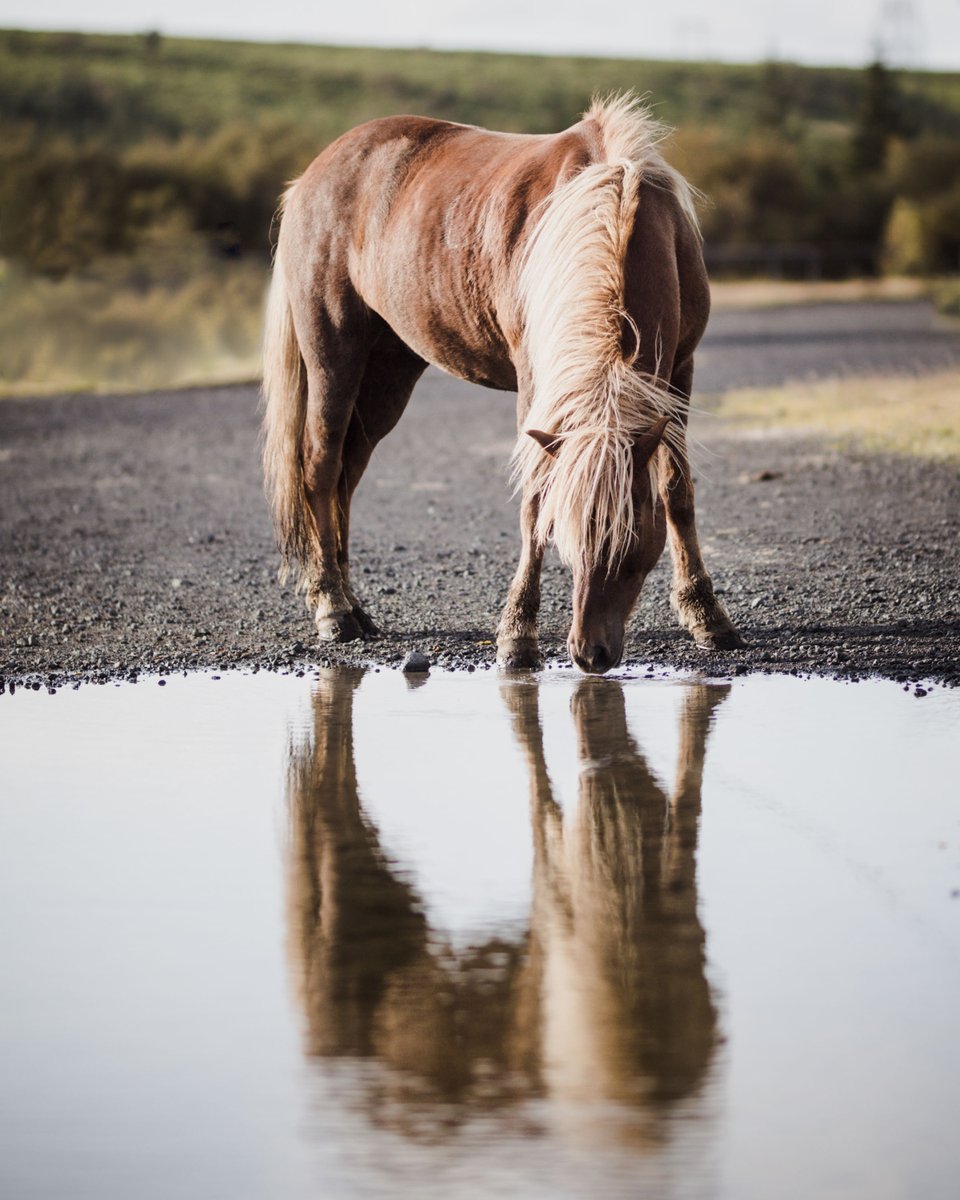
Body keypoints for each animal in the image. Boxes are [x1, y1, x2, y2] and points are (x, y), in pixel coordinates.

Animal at [261, 94, 743, 674]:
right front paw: (518, 635)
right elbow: (534, 497)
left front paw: (708, 617)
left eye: (632, 552)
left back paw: (354, 604)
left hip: (387, 376)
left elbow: (676, 490)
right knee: (320, 466)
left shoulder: (677, 375)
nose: (591, 653)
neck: (615, 204)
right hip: (334, 354)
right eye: (570, 544)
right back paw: (333, 608)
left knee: (346, 475)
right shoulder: (537, 387)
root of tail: (312, 175)